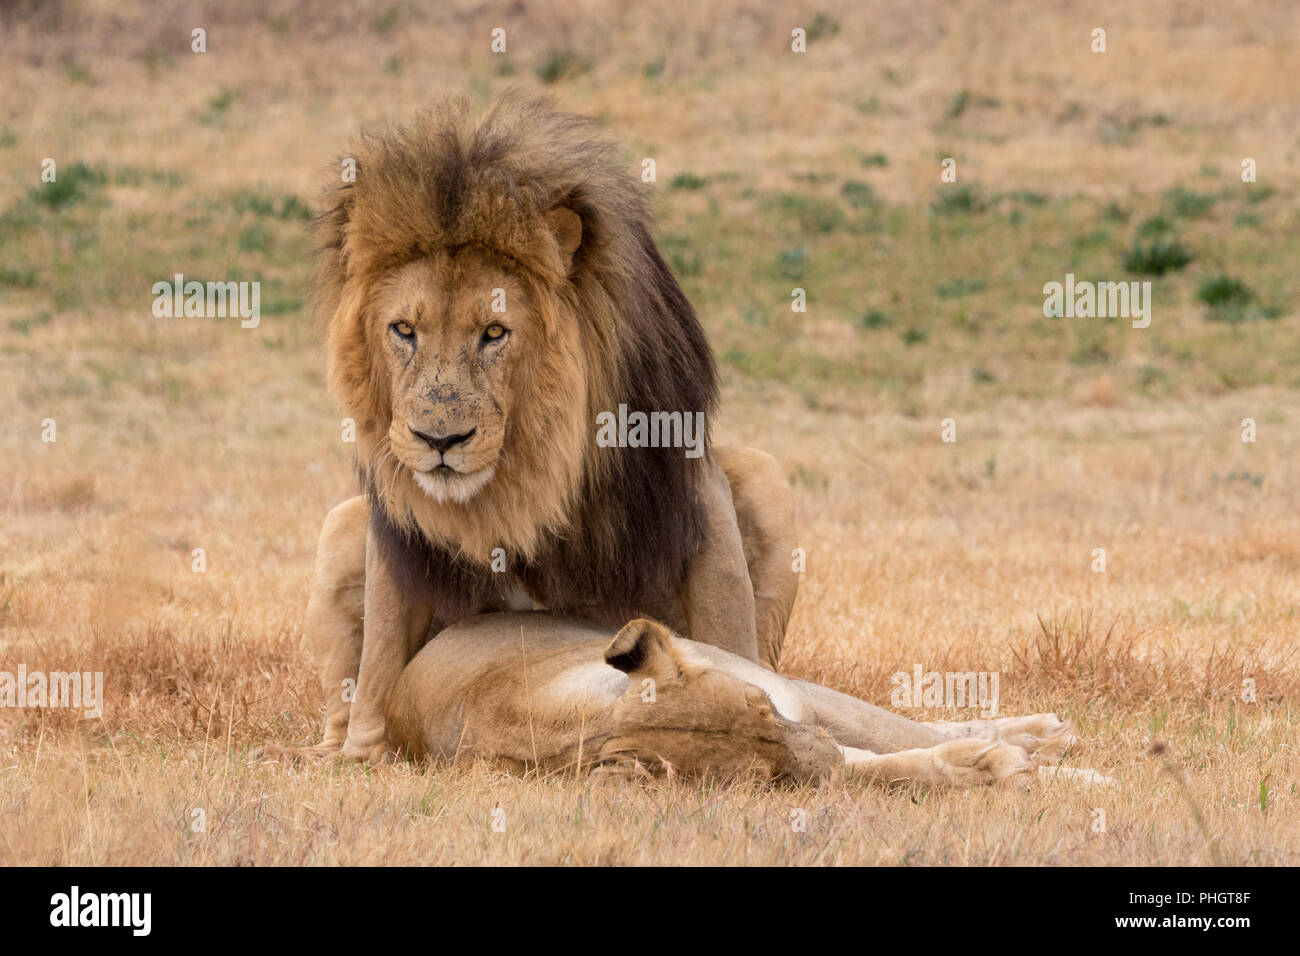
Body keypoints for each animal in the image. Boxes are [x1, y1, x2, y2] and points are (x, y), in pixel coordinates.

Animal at [312, 93, 790, 759]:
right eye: (404, 330)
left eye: (494, 332)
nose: (439, 440)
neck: (528, 472)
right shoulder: (397, 528)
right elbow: (381, 651)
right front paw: (362, 757)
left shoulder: (693, 494)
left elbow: (727, 630)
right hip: (340, 526)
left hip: (767, 480)